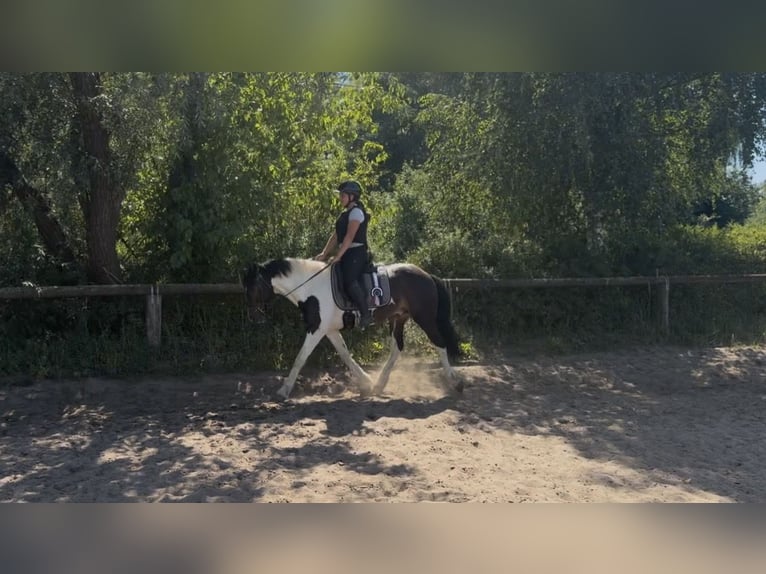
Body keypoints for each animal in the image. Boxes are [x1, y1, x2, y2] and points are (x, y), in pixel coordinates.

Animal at [241, 257, 464, 400]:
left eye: (253, 288)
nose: (253, 317)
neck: (310, 288)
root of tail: (427, 275)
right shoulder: (329, 330)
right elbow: (345, 355)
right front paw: (366, 382)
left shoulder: (316, 329)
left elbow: (300, 358)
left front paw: (284, 390)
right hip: (398, 318)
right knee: (397, 348)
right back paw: (379, 385)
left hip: (424, 318)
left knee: (440, 343)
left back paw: (455, 383)